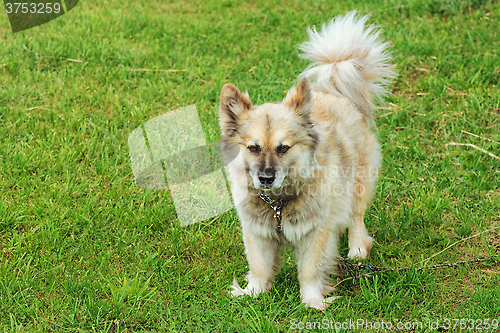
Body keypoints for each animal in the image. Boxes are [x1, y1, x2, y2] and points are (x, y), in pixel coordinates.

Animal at [218, 11, 394, 310]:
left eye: (283, 148)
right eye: (253, 148)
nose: (265, 178)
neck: (277, 203)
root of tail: (335, 91)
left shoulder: (315, 233)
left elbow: (310, 270)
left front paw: (313, 302)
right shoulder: (256, 232)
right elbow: (259, 267)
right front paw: (253, 293)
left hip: (358, 183)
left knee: (356, 216)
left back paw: (358, 249)